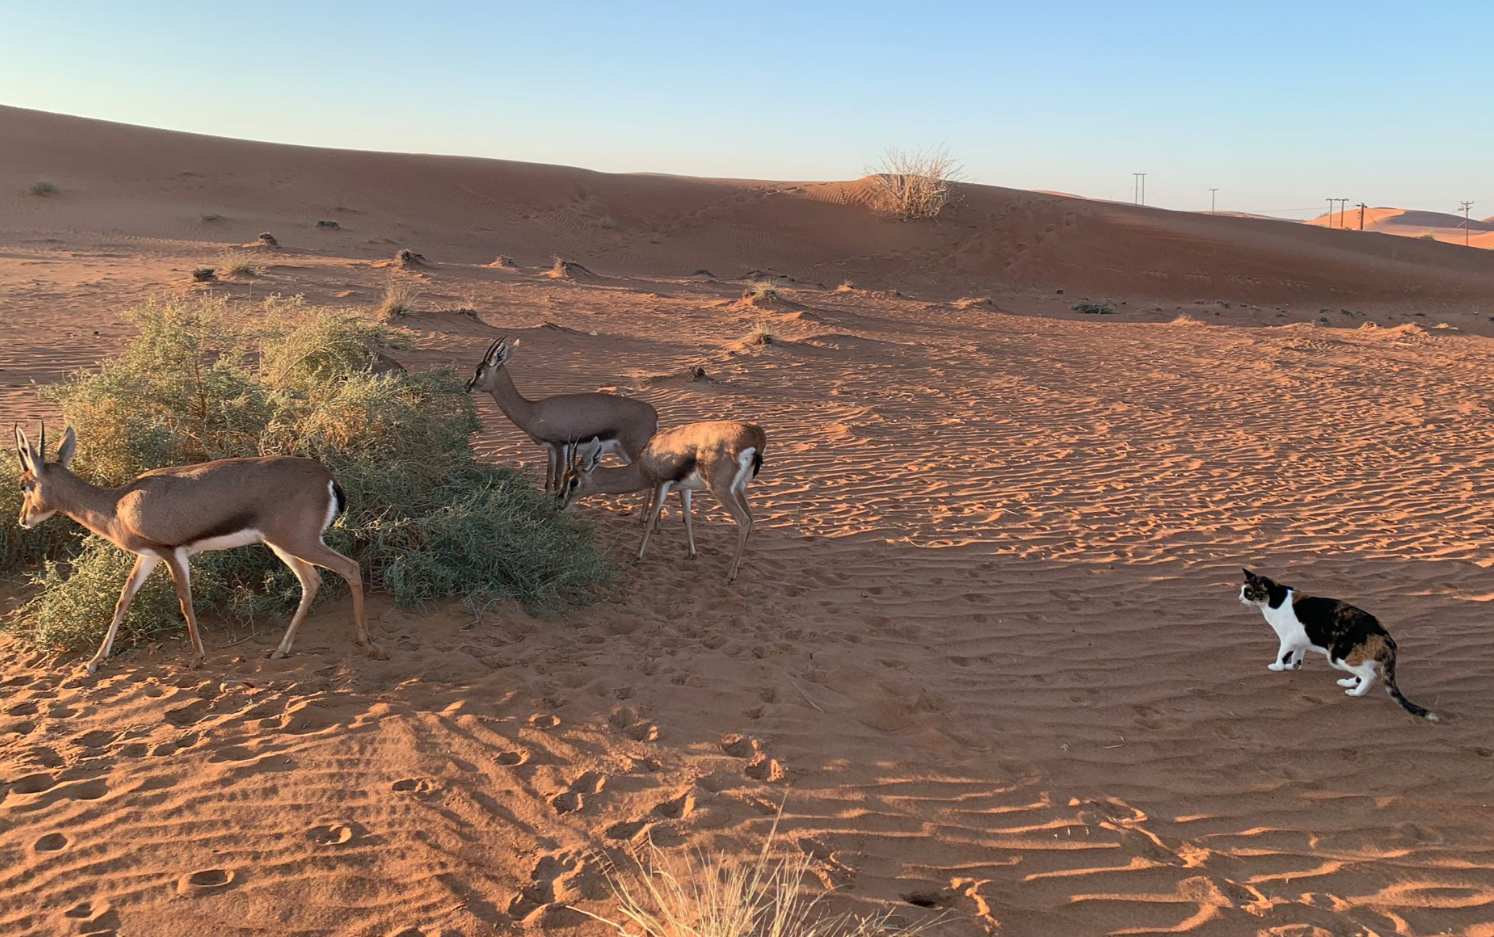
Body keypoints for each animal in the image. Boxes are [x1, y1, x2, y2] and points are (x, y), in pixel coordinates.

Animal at [1237, 567, 1434, 723]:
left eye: (1248, 592)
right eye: (1242, 591)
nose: (1239, 599)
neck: (1276, 599)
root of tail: (1387, 640)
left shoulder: (1287, 638)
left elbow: (1282, 654)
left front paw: (1277, 667)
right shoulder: (1300, 641)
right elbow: (1297, 657)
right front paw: (1293, 667)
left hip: (1339, 656)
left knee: (1370, 676)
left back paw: (1356, 693)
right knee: (1362, 674)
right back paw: (1348, 683)